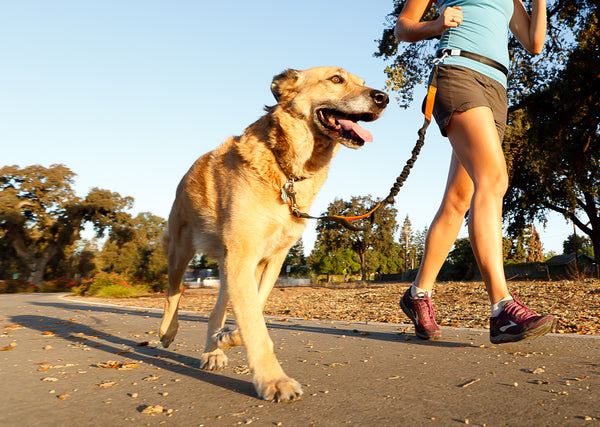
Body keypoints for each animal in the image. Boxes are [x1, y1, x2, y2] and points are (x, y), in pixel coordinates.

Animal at [157, 66, 386, 402]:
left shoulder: (270, 260)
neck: (287, 172)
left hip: (229, 267)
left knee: (215, 311)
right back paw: (167, 332)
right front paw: (273, 380)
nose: (384, 98)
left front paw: (226, 339)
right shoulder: (242, 258)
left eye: (362, 81)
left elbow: (255, 310)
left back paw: (213, 350)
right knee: (173, 292)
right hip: (181, 251)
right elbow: (254, 325)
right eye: (336, 79)